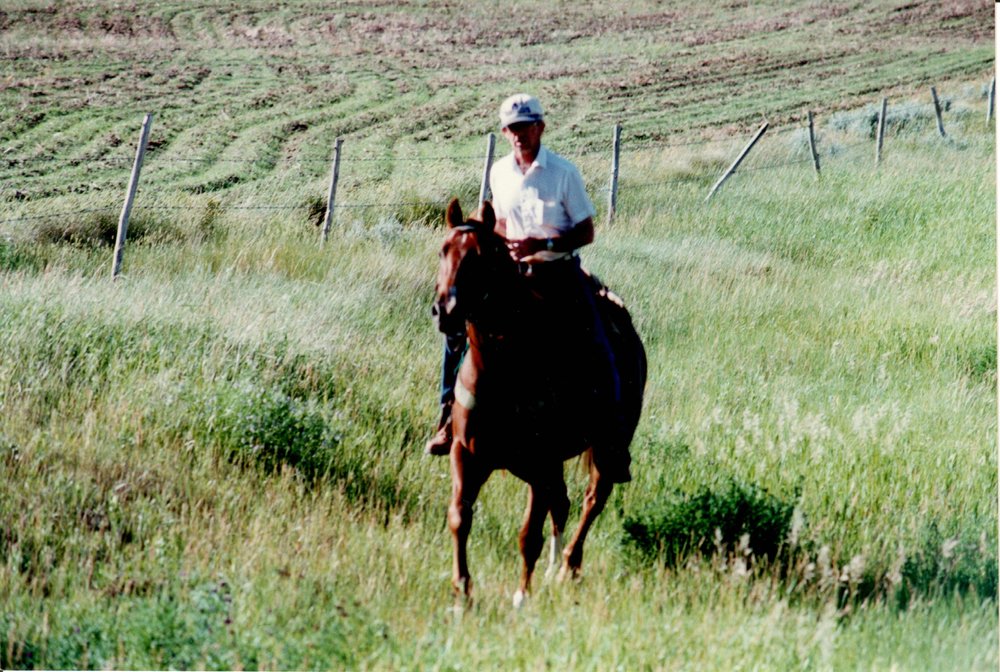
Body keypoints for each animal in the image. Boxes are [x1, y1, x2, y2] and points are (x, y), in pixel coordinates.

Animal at [432, 198, 648, 604]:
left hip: (606, 448)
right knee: (563, 502)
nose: (445, 311)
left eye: (481, 257)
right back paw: (553, 567)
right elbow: (459, 517)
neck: (503, 371)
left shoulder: (540, 464)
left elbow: (528, 535)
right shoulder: (467, 453)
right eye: (443, 250)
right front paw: (463, 592)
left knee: (593, 499)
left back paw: (568, 566)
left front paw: (521, 596)